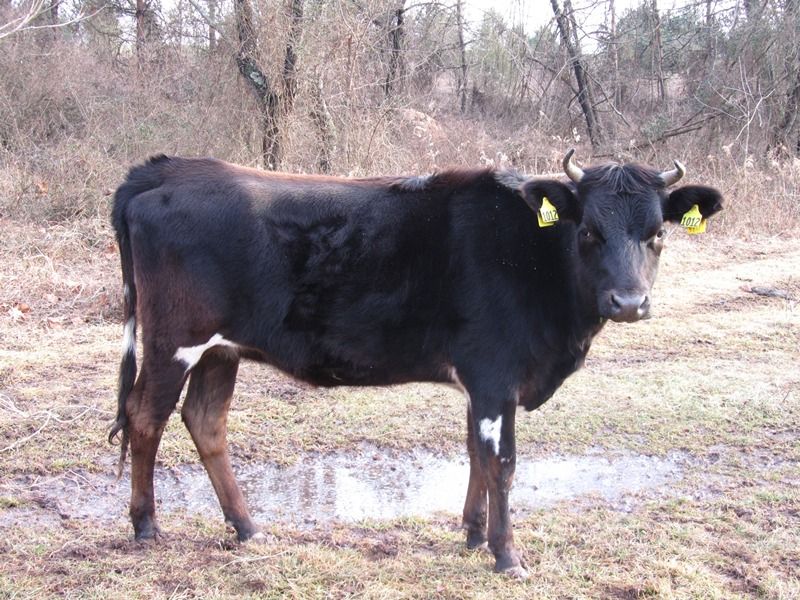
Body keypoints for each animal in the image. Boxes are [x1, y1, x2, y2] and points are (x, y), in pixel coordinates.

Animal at [108, 150, 722, 578]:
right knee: (145, 417)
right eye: (590, 230)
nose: (628, 302)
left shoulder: (481, 380)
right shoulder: (496, 373)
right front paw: (507, 555)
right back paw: (146, 525)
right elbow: (501, 463)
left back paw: (247, 527)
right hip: (173, 341)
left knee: (205, 423)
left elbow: (475, 453)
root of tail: (168, 169)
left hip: (220, 350)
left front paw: (472, 535)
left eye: (657, 234)